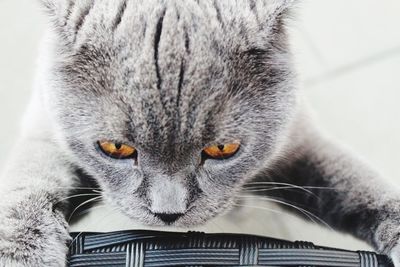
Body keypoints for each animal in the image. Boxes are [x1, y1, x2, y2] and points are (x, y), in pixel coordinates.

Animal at [0, 0, 400, 266]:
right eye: (115, 147)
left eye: (223, 149)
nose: (168, 213)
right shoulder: (44, 128)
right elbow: (29, 180)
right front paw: (21, 253)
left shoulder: (297, 140)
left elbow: (356, 183)